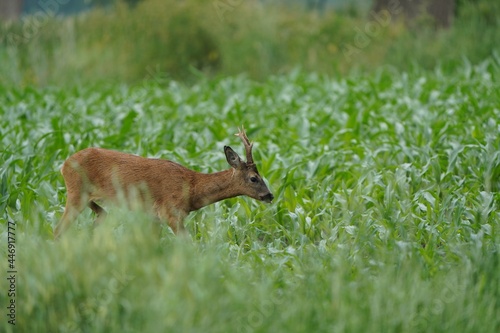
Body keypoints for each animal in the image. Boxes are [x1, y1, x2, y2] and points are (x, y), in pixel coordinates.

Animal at [54, 126, 274, 237]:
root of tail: (63, 165)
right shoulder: (171, 213)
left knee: (99, 216)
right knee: (58, 230)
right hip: (75, 194)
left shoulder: (155, 217)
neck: (191, 188)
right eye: (254, 178)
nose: (270, 195)